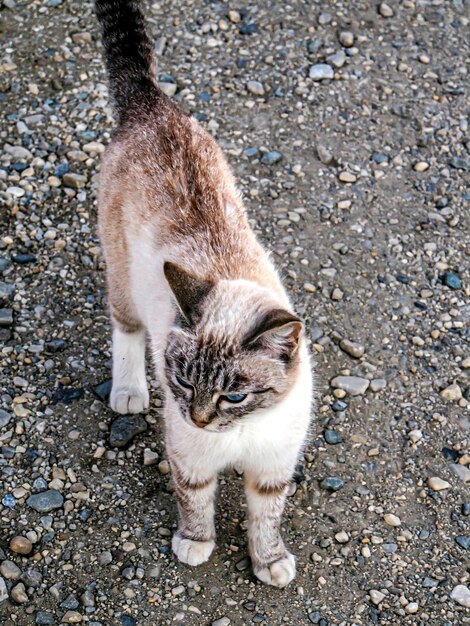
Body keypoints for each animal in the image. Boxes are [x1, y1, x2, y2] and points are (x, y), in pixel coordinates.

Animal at [93, 0, 314, 584]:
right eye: (184, 383)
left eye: (234, 396)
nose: (198, 418)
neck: (240, 435)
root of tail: (151, 105)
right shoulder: (190, 460)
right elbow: (195, 501)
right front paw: (195, 545)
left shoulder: (272, 470)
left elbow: (267, 518)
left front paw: (270, 564)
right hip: (123, 279)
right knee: (125, 327)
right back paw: (129, 393)